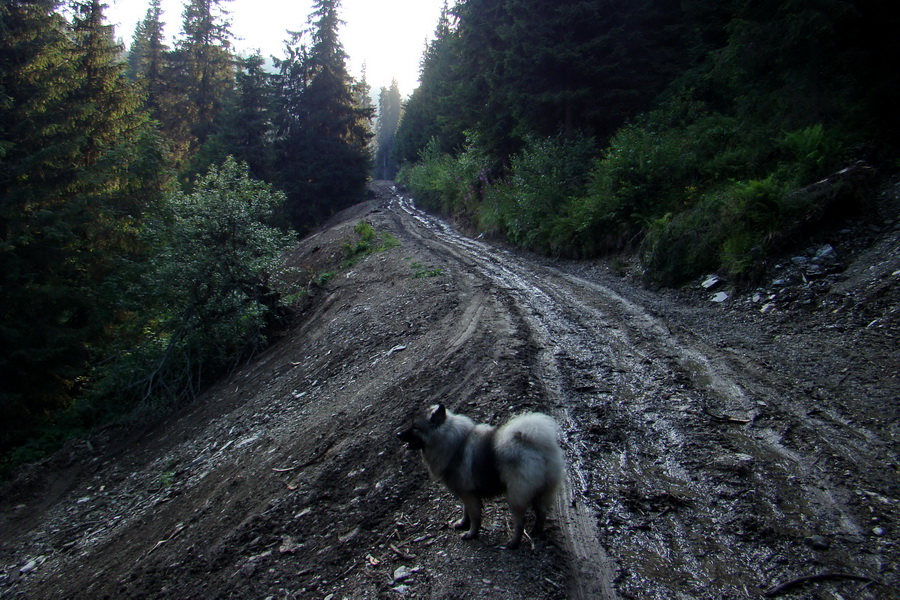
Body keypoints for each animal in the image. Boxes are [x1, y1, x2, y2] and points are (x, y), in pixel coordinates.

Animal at [396, 404, 564, 548]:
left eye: (415, 427)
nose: (398, 434)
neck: (455, 444)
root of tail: (536, 446)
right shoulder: (466, 493)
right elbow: (465, 511)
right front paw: (462, 524)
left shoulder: (469, 494)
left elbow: (475, 516)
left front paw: (471, 534)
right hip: (541, 491)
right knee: (541, 512)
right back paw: (536, 531)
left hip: (517, 495)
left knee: (520, 521)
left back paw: (513, 543)